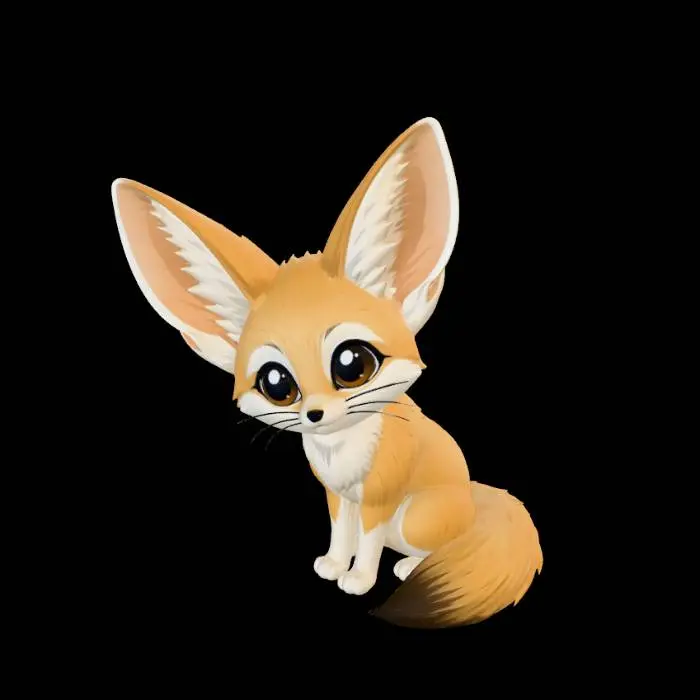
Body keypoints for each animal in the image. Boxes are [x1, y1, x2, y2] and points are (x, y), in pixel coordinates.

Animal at [110, 117, 542, 629]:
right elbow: (341, 534)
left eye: (352, 365)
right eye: (277, 383)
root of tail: (476, 496)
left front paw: (358, 581)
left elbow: (368, 546)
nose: (316, 414)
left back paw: (411, 565)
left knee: (434, 544)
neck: (342, 452)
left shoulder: (378, 498)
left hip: (415, 515)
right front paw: (336, 565)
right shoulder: (338, 497)